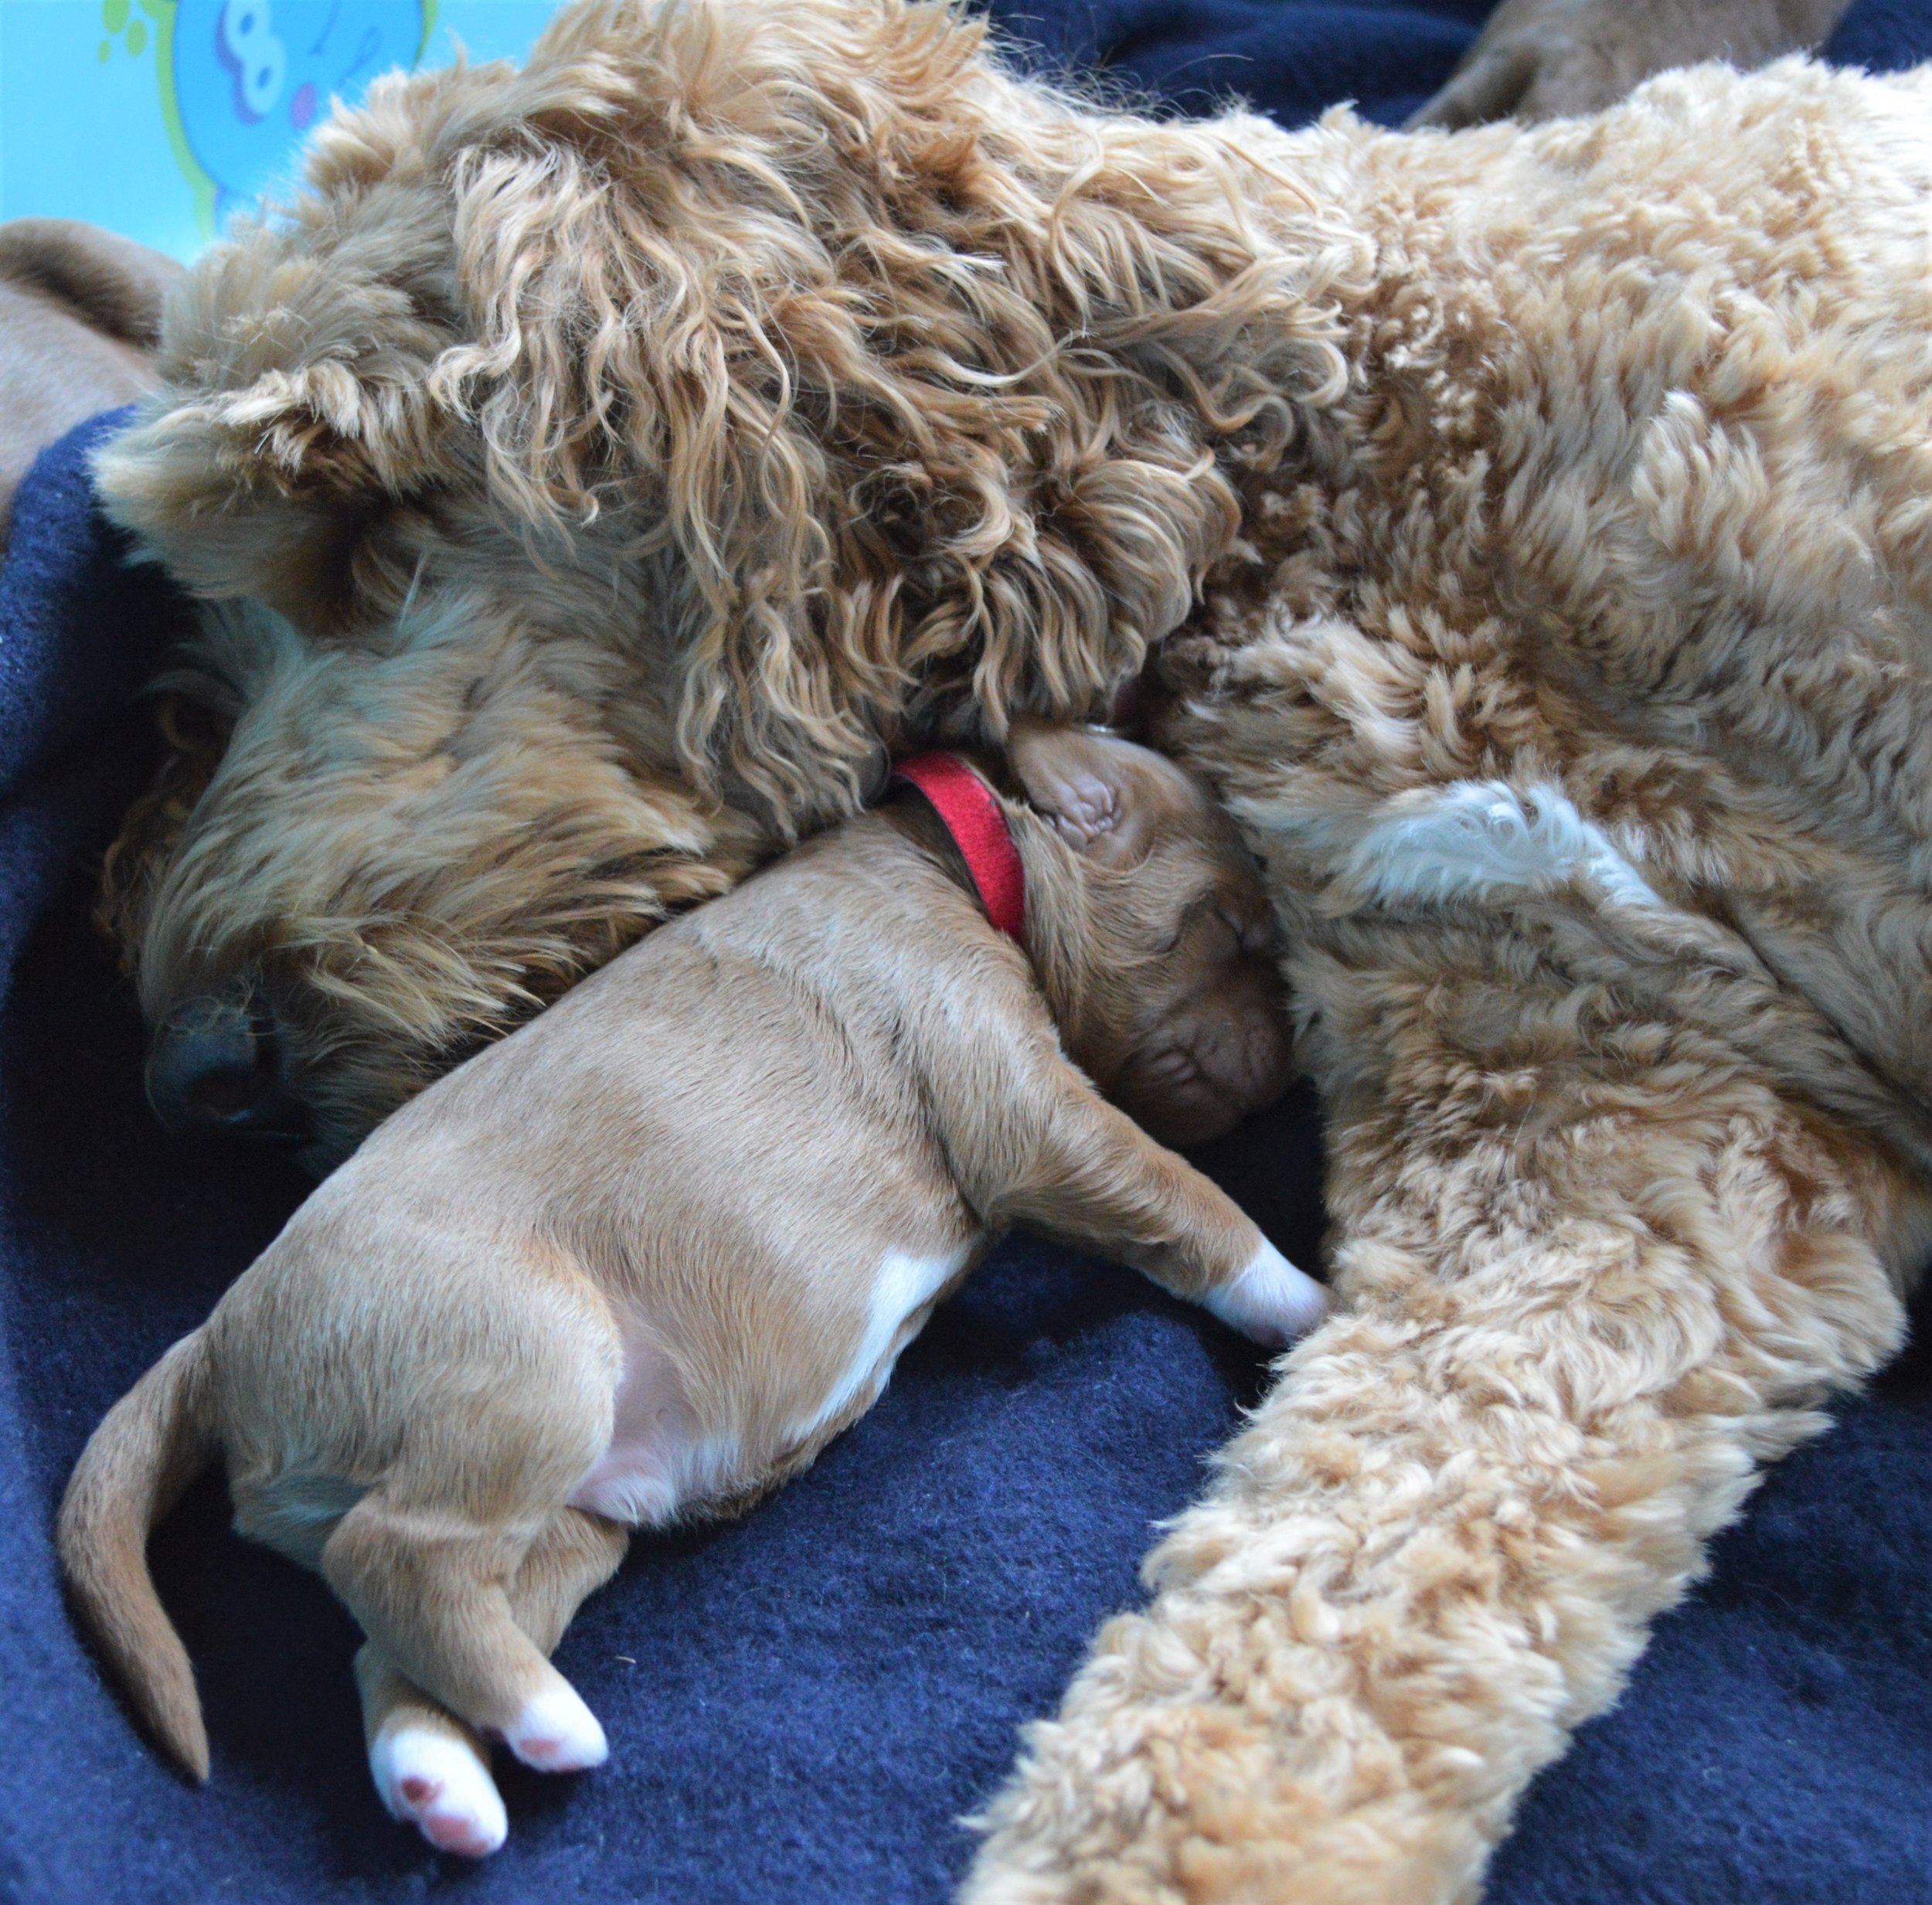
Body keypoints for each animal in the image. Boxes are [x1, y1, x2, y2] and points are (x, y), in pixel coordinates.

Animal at [64, 719, 1329, 1847]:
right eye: (1237, 934)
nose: (1294, 1067)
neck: (969, 862)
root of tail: (213, 1337)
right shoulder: (1026, 1106)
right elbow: (1190, 1201)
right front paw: (1313, 1303)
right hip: (529, 1369)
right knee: (392, 1554)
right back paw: (551, 1721)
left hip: (560, 1512)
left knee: (398, 1627)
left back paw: (449, 1782)